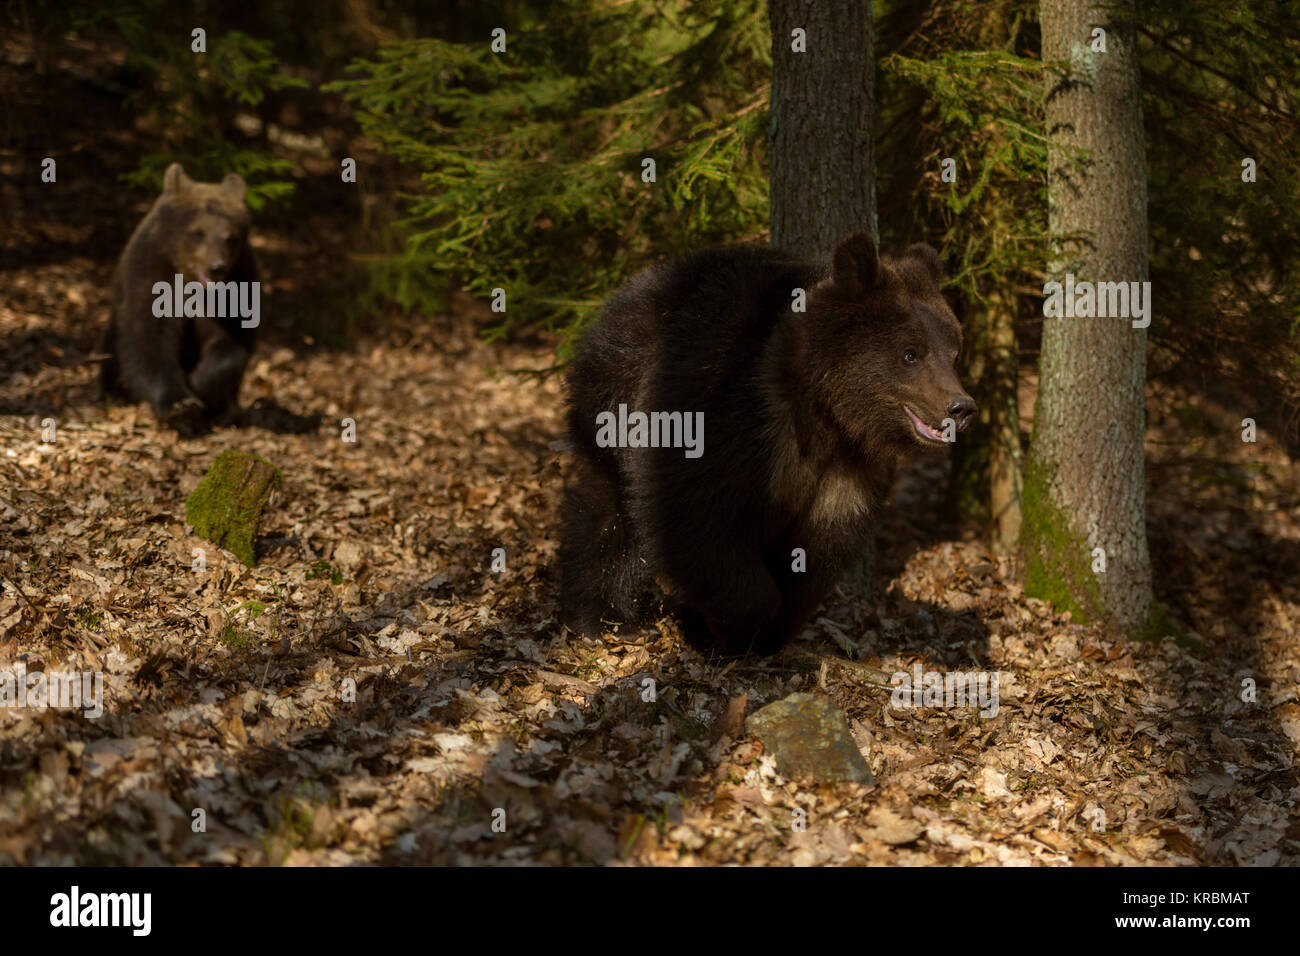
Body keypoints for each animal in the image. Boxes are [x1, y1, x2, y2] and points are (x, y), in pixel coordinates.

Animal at [101, 162, 258, 431]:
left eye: (231, 237)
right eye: (198, 232)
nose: (216, 267)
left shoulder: (237, 286)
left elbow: (231, 342)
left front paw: (198, 384)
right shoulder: (150, 275)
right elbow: (149, 338)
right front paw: (180, 404)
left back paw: (229, 412)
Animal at [559, 234, 977, 658]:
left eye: (953, 353)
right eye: (911, 354)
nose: (960, 407)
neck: (825, 413)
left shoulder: (848, 469)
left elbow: (818, 551)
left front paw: (765, 632)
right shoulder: (728, 415)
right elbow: (701, 518)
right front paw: (726, 623)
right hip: (617, 398)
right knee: (612, 514)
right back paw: (606, 620)